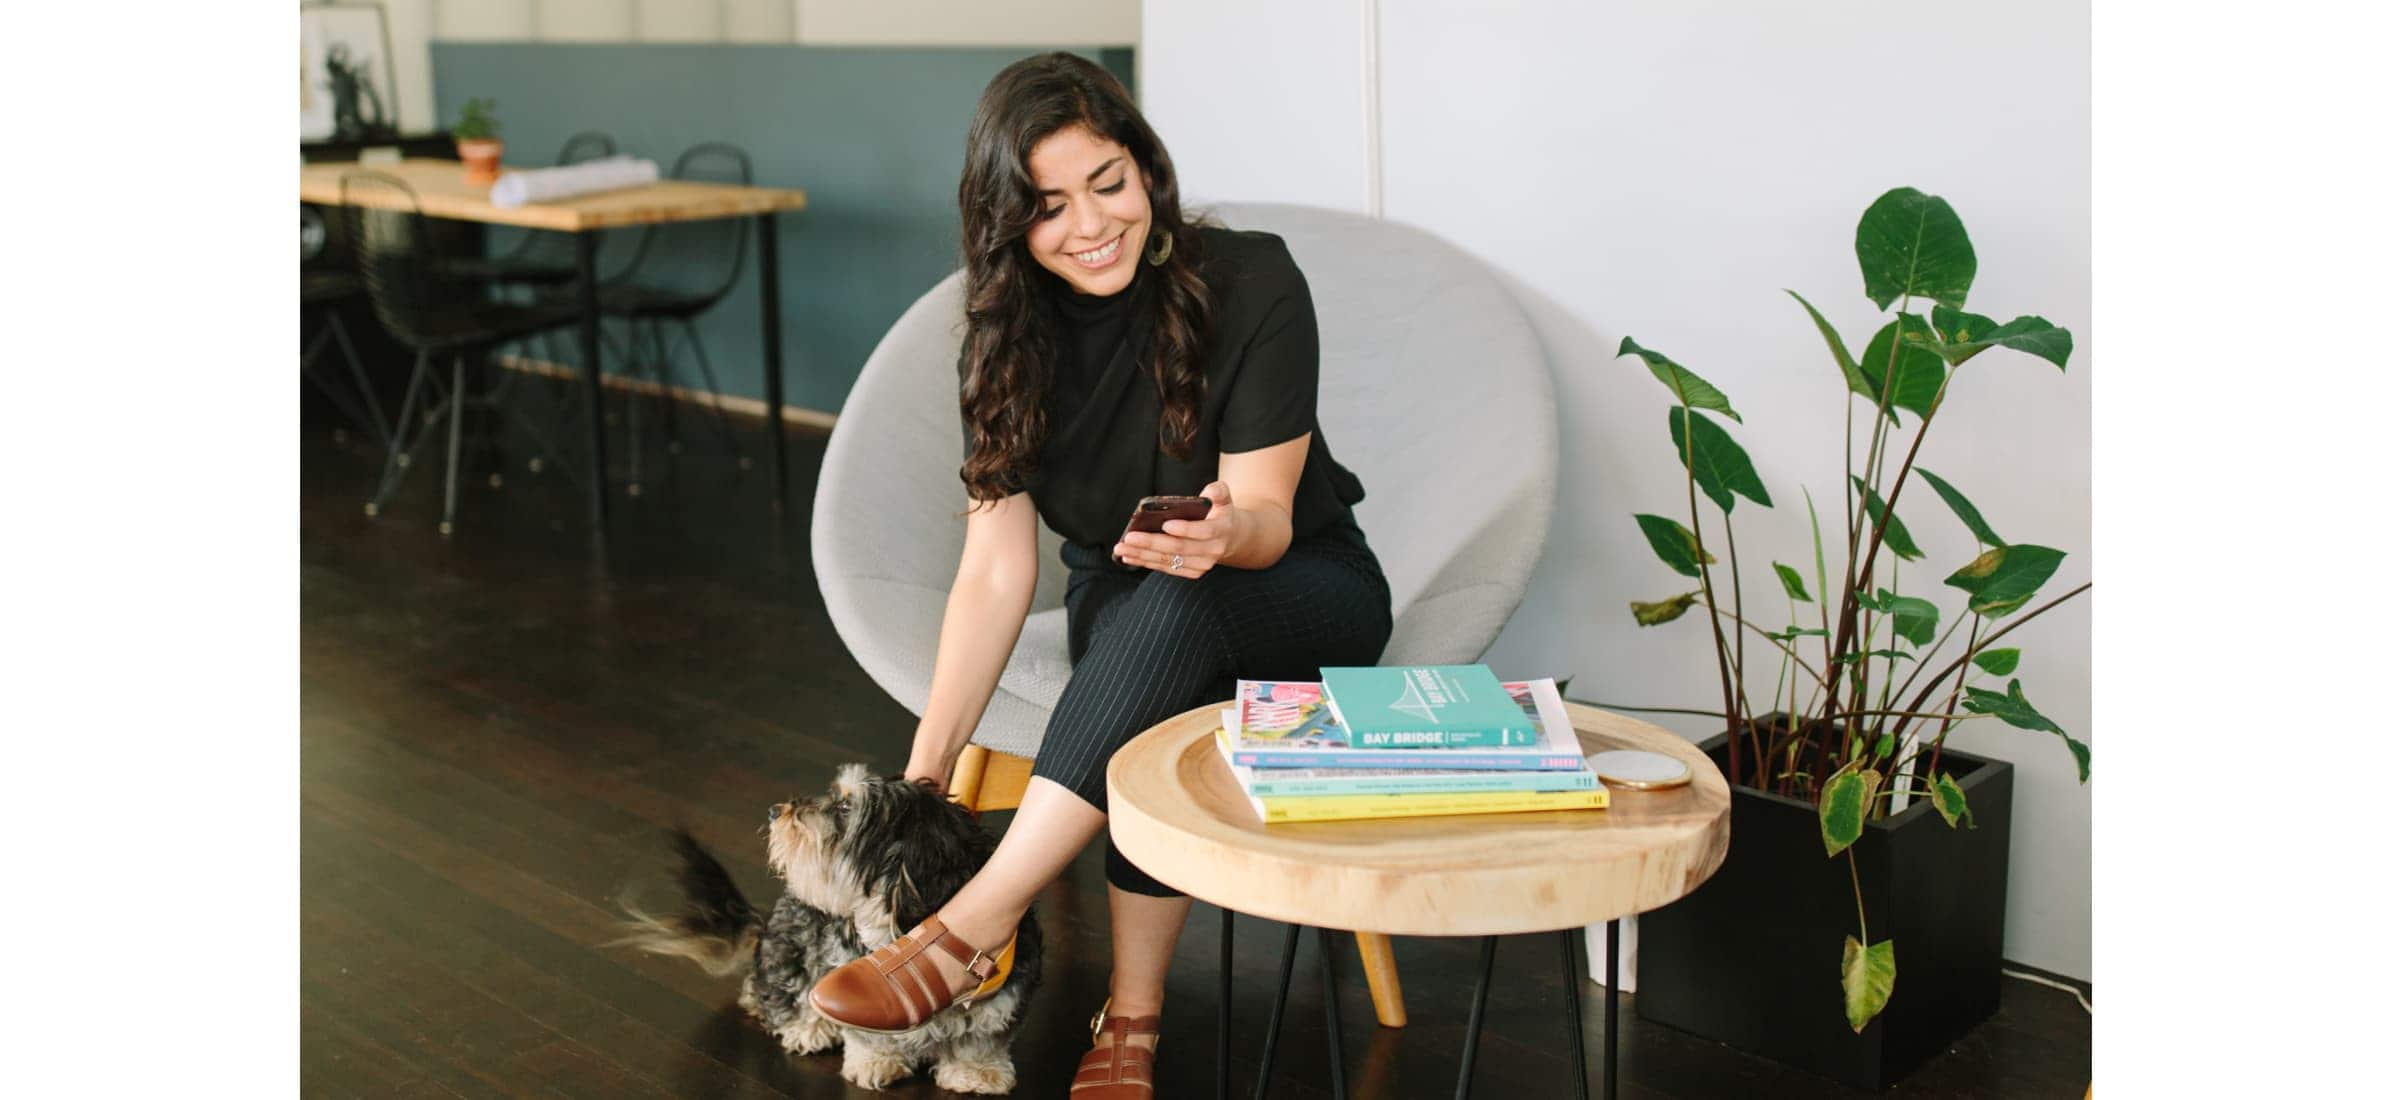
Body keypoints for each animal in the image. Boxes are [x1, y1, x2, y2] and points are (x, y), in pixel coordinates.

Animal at [617, 765, 1038, 1090]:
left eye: (846, 806)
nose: (775, 811)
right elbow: (869, 1035)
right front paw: (875, 1061)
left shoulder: (1004, 997)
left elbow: (982, 1037)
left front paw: (977, 1072)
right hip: (793, 945)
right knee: (775, 989)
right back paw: (806, 1026)